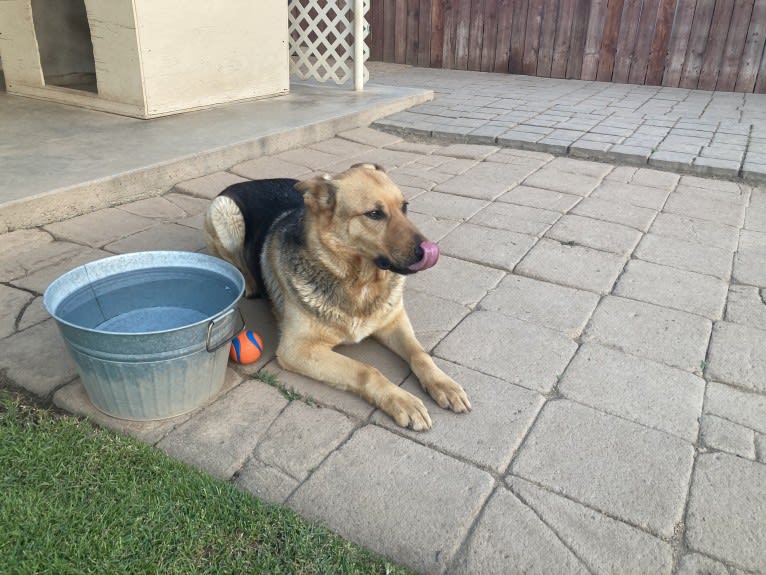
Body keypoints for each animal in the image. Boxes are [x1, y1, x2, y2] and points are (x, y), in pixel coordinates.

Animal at [204, 164, 472, 430]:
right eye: (375, 214)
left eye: (404, 206)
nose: (428, 251)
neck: (359, 281)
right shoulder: (296, 349)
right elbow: (367, 371)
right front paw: (401, 400)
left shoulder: (394, 321)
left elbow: (419, 353)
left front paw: (443, 384)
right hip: (225, 213)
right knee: (232, 259)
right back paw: (249, 283)